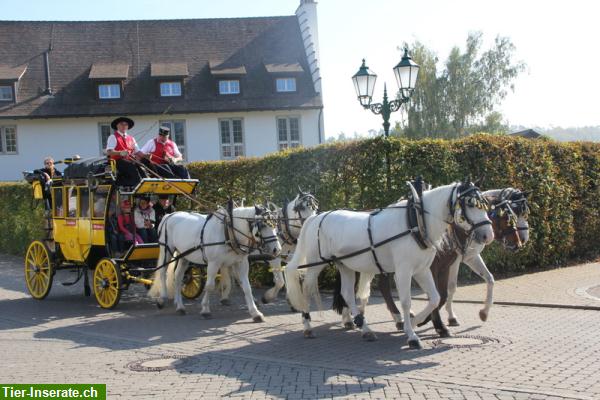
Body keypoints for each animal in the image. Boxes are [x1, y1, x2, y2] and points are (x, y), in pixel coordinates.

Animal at [149, 205, 282, 320]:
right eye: (263, 226)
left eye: (275, 225)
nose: (277, 249)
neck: (228, 232)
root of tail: (169, 215)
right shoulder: (213, 263)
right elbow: (209, 286)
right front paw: (205, 310)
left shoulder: (241, 263)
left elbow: (247, 287)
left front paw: (255, 313)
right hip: (167, 250)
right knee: (163, 272)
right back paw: (162, 299)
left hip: (184, 256)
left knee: (178, 278)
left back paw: (180, 307)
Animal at [284, 180, 494, 348]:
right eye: (470, 204)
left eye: (484, 205)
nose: (488, 235)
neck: (415, 223)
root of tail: (316, 218)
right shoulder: (404, 271)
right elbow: (407, 301)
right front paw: (412, 334)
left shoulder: (422, 270)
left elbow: (434, 298)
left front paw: (416, 322)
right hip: (315, 263)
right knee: (307, 290)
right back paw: (308, 326)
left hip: (346, 266)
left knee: (347, 294)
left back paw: (364, 328)